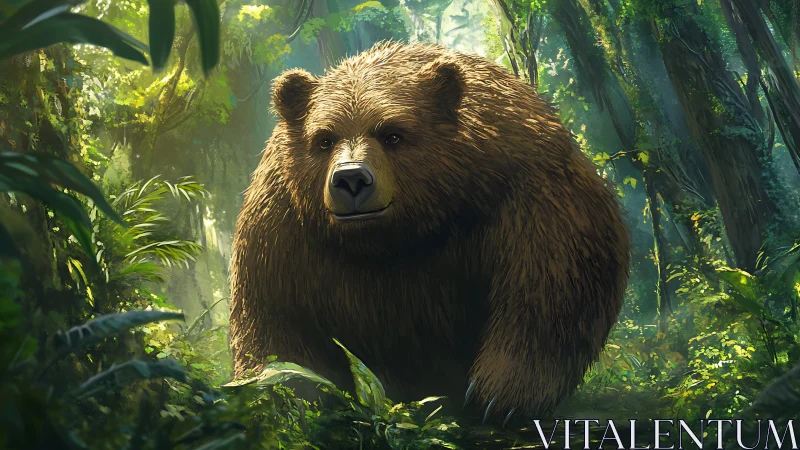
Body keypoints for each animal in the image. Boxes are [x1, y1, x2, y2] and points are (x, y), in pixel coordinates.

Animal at [229, 41, 630, 422]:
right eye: (324, 138)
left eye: (392, 133)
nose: (351, 178)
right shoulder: (283, 229)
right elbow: (275, 319)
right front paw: (287, 392)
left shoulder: (524, 187)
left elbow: (550, 285)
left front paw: (500, 395)